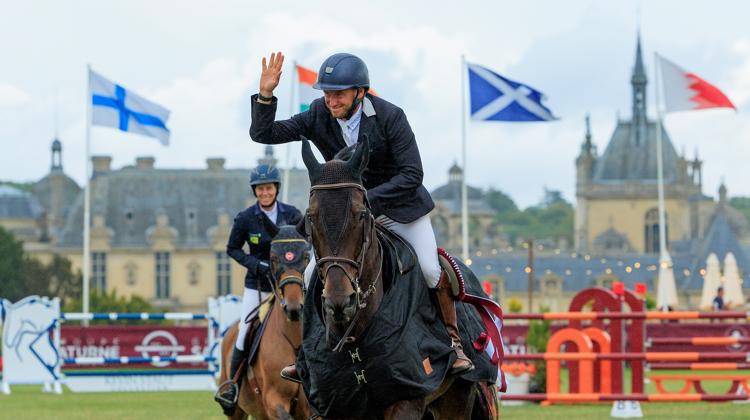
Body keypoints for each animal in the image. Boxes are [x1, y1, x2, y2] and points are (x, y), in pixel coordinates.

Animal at [219, 226, 312, 420]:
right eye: (273, 258)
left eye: (307, 256)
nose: (294, 308)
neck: (294, 341)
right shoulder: (273, 400)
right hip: (237, 410)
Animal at [300, 136, 500, 418]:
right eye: (311, 216)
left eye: (361, 214)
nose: (340, 301)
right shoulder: (331, 406)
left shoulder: (406, 401)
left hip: (456, 399)